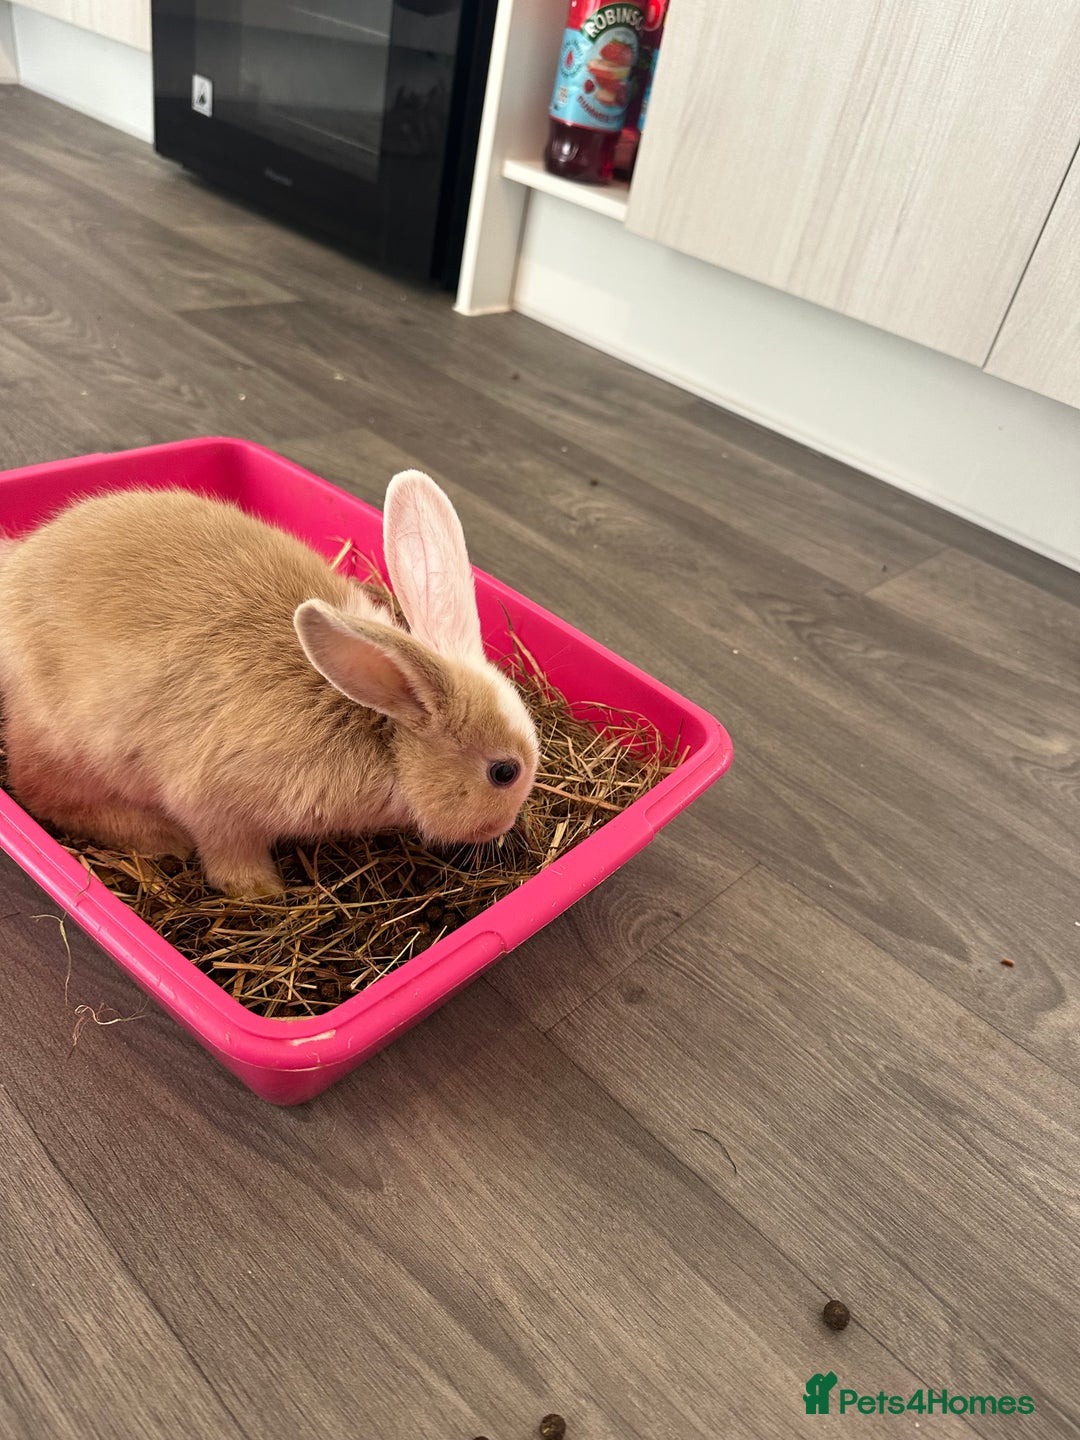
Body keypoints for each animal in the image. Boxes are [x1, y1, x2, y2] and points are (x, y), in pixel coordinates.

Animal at [0, 470, 539, 898]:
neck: (387, 734)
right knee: (42, 792)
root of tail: (14, 574)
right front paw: (265, 893)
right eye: (503, 772)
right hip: (74, 747)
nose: (505, 826)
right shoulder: (218, 807)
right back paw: (162, 838)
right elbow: (230, 861)